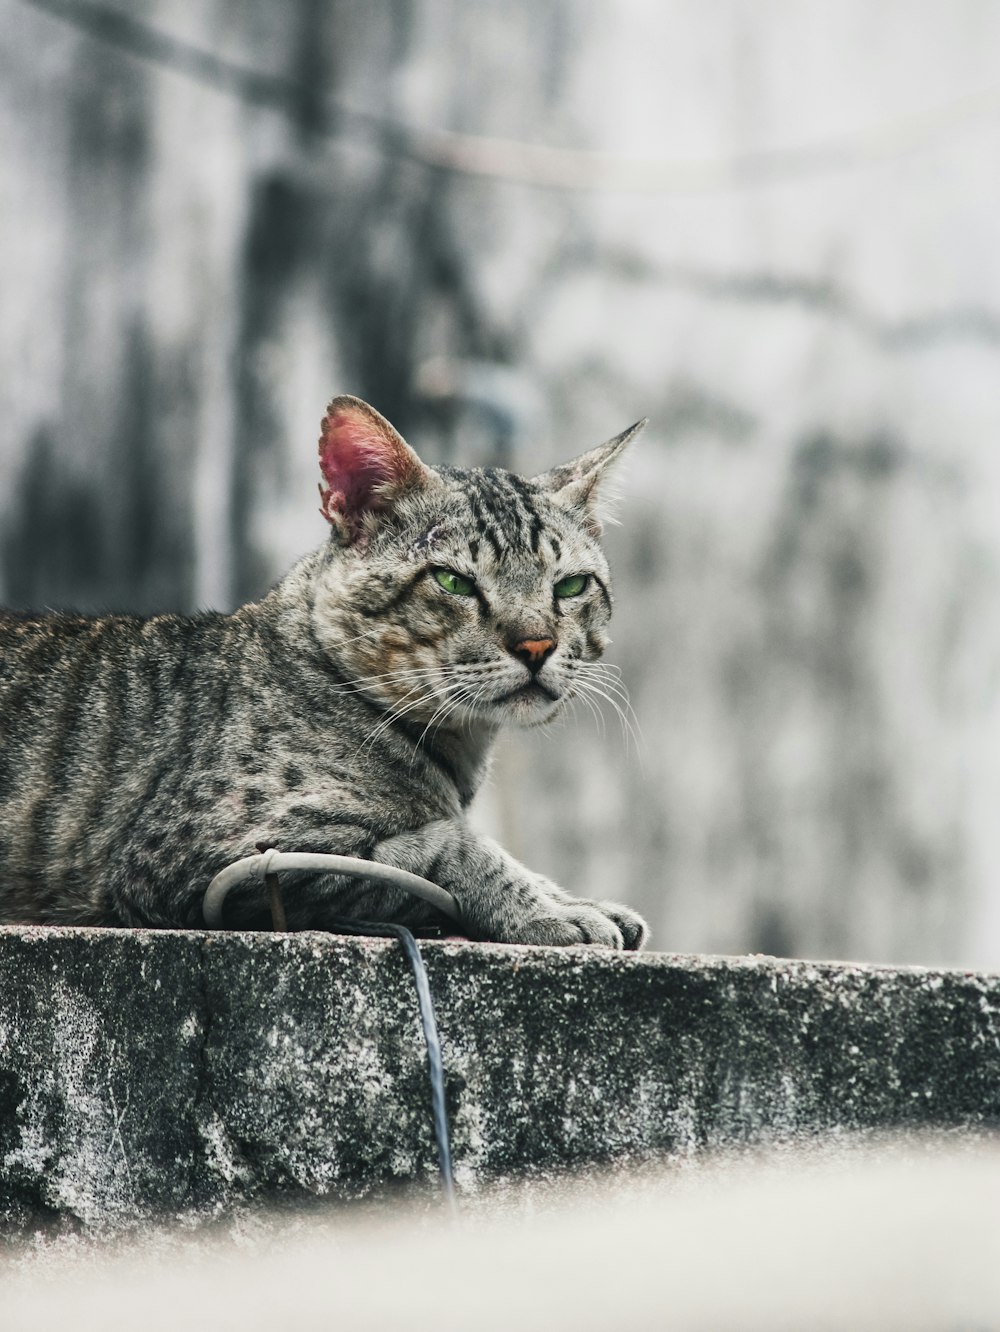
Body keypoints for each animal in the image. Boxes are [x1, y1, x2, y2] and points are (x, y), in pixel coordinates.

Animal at [0, 394, 649, 948]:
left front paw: (573, 898)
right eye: (454, 581)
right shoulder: (222, 862)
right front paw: (548, 911)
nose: (537, 645)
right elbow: (449, 847)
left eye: (571, 586)